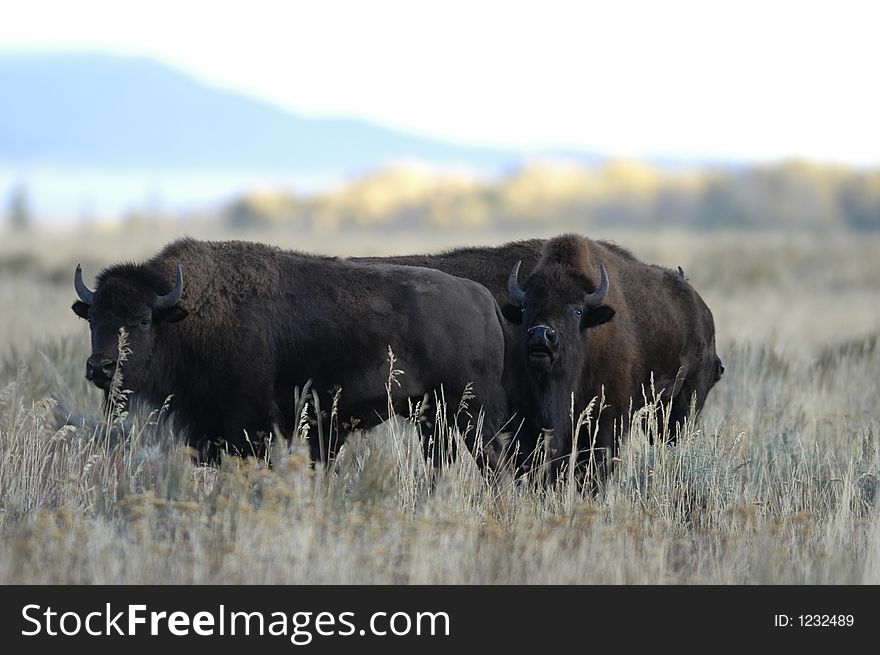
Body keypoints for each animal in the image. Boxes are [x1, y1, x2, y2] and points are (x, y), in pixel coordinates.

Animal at [72, 238, 512, 468]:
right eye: (92, 317)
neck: (188, 315)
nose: (101, 367)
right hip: (434, 417)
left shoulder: (250, 427)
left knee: (494, 459)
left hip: (472, 412)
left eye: (144, 320)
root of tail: (484, 298)